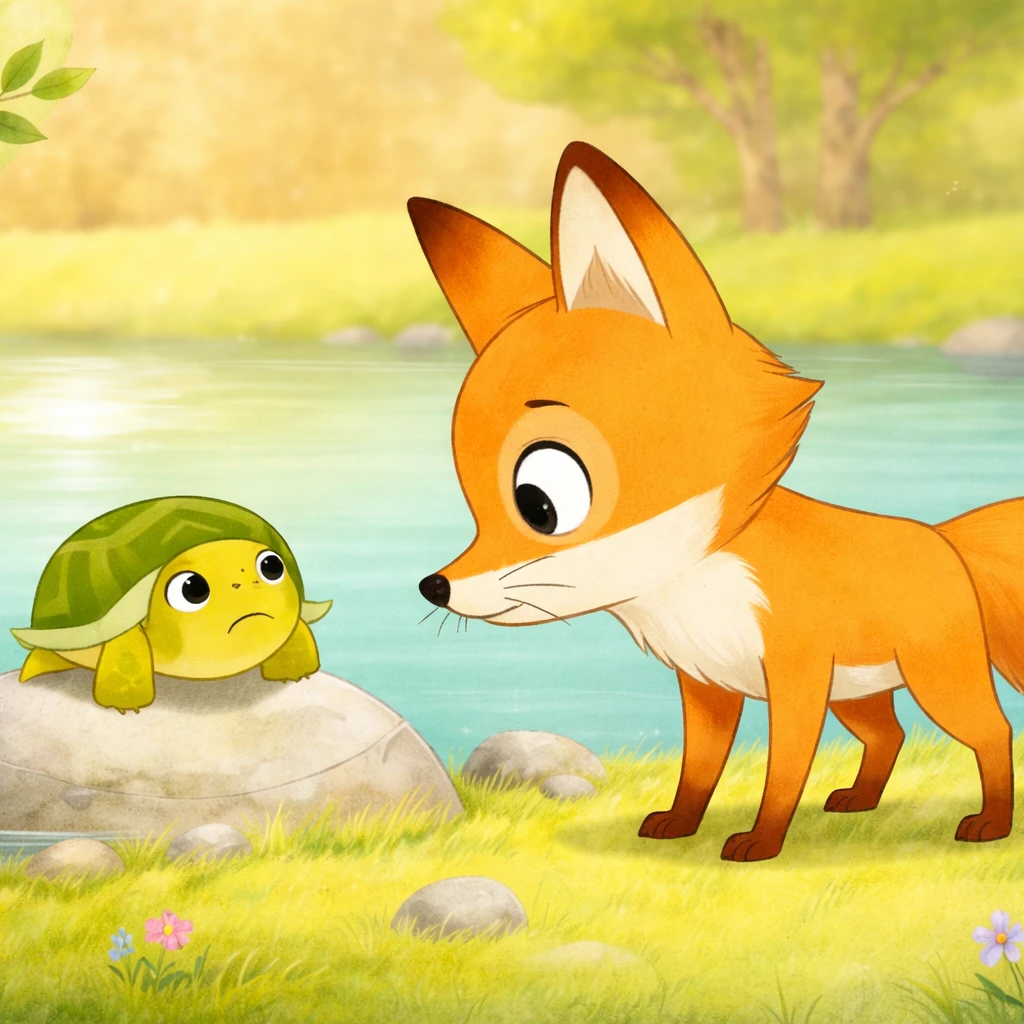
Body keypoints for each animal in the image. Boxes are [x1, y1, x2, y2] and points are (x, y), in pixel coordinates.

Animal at [407, 140, 1023, 862]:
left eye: (539, 502)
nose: (435, 586)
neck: (696, 581)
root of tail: (947, 538)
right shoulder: (705, 685)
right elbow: (699, 770)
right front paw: (679, 824)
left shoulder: (795, 678)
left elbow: (783, 771)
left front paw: (761, 841)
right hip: (859, 692)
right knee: (889, 736)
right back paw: (860, 801)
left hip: (935, 681)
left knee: (993, 732)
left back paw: (991, 824)